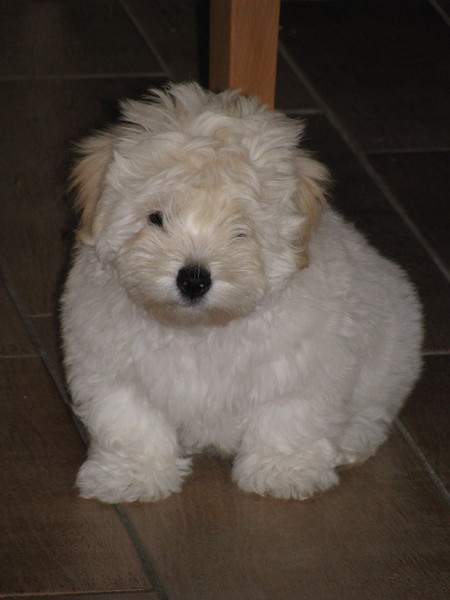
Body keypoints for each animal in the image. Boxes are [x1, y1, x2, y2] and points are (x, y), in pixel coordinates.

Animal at [61, 81, 424, 502]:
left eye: (241, 230)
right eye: (156, 218)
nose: (193, 279)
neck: (198, 331)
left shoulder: (303, 366)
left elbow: (288, 416)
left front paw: (282, 471)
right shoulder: (112, 367)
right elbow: (130, 419)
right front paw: (132, 474)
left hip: (391, 354)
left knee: (371, 409)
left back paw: (352, 439)